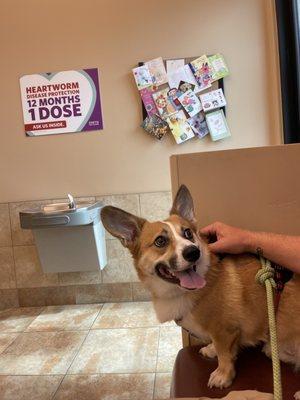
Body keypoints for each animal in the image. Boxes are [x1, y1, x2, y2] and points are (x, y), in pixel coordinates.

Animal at [101, 185, 300, 396]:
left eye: (188, 233)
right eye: (160, 241)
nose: (193, 252)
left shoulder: (225, 331)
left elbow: (225, 356)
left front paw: (223, 376)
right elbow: (221, 349)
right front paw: (211, 349)